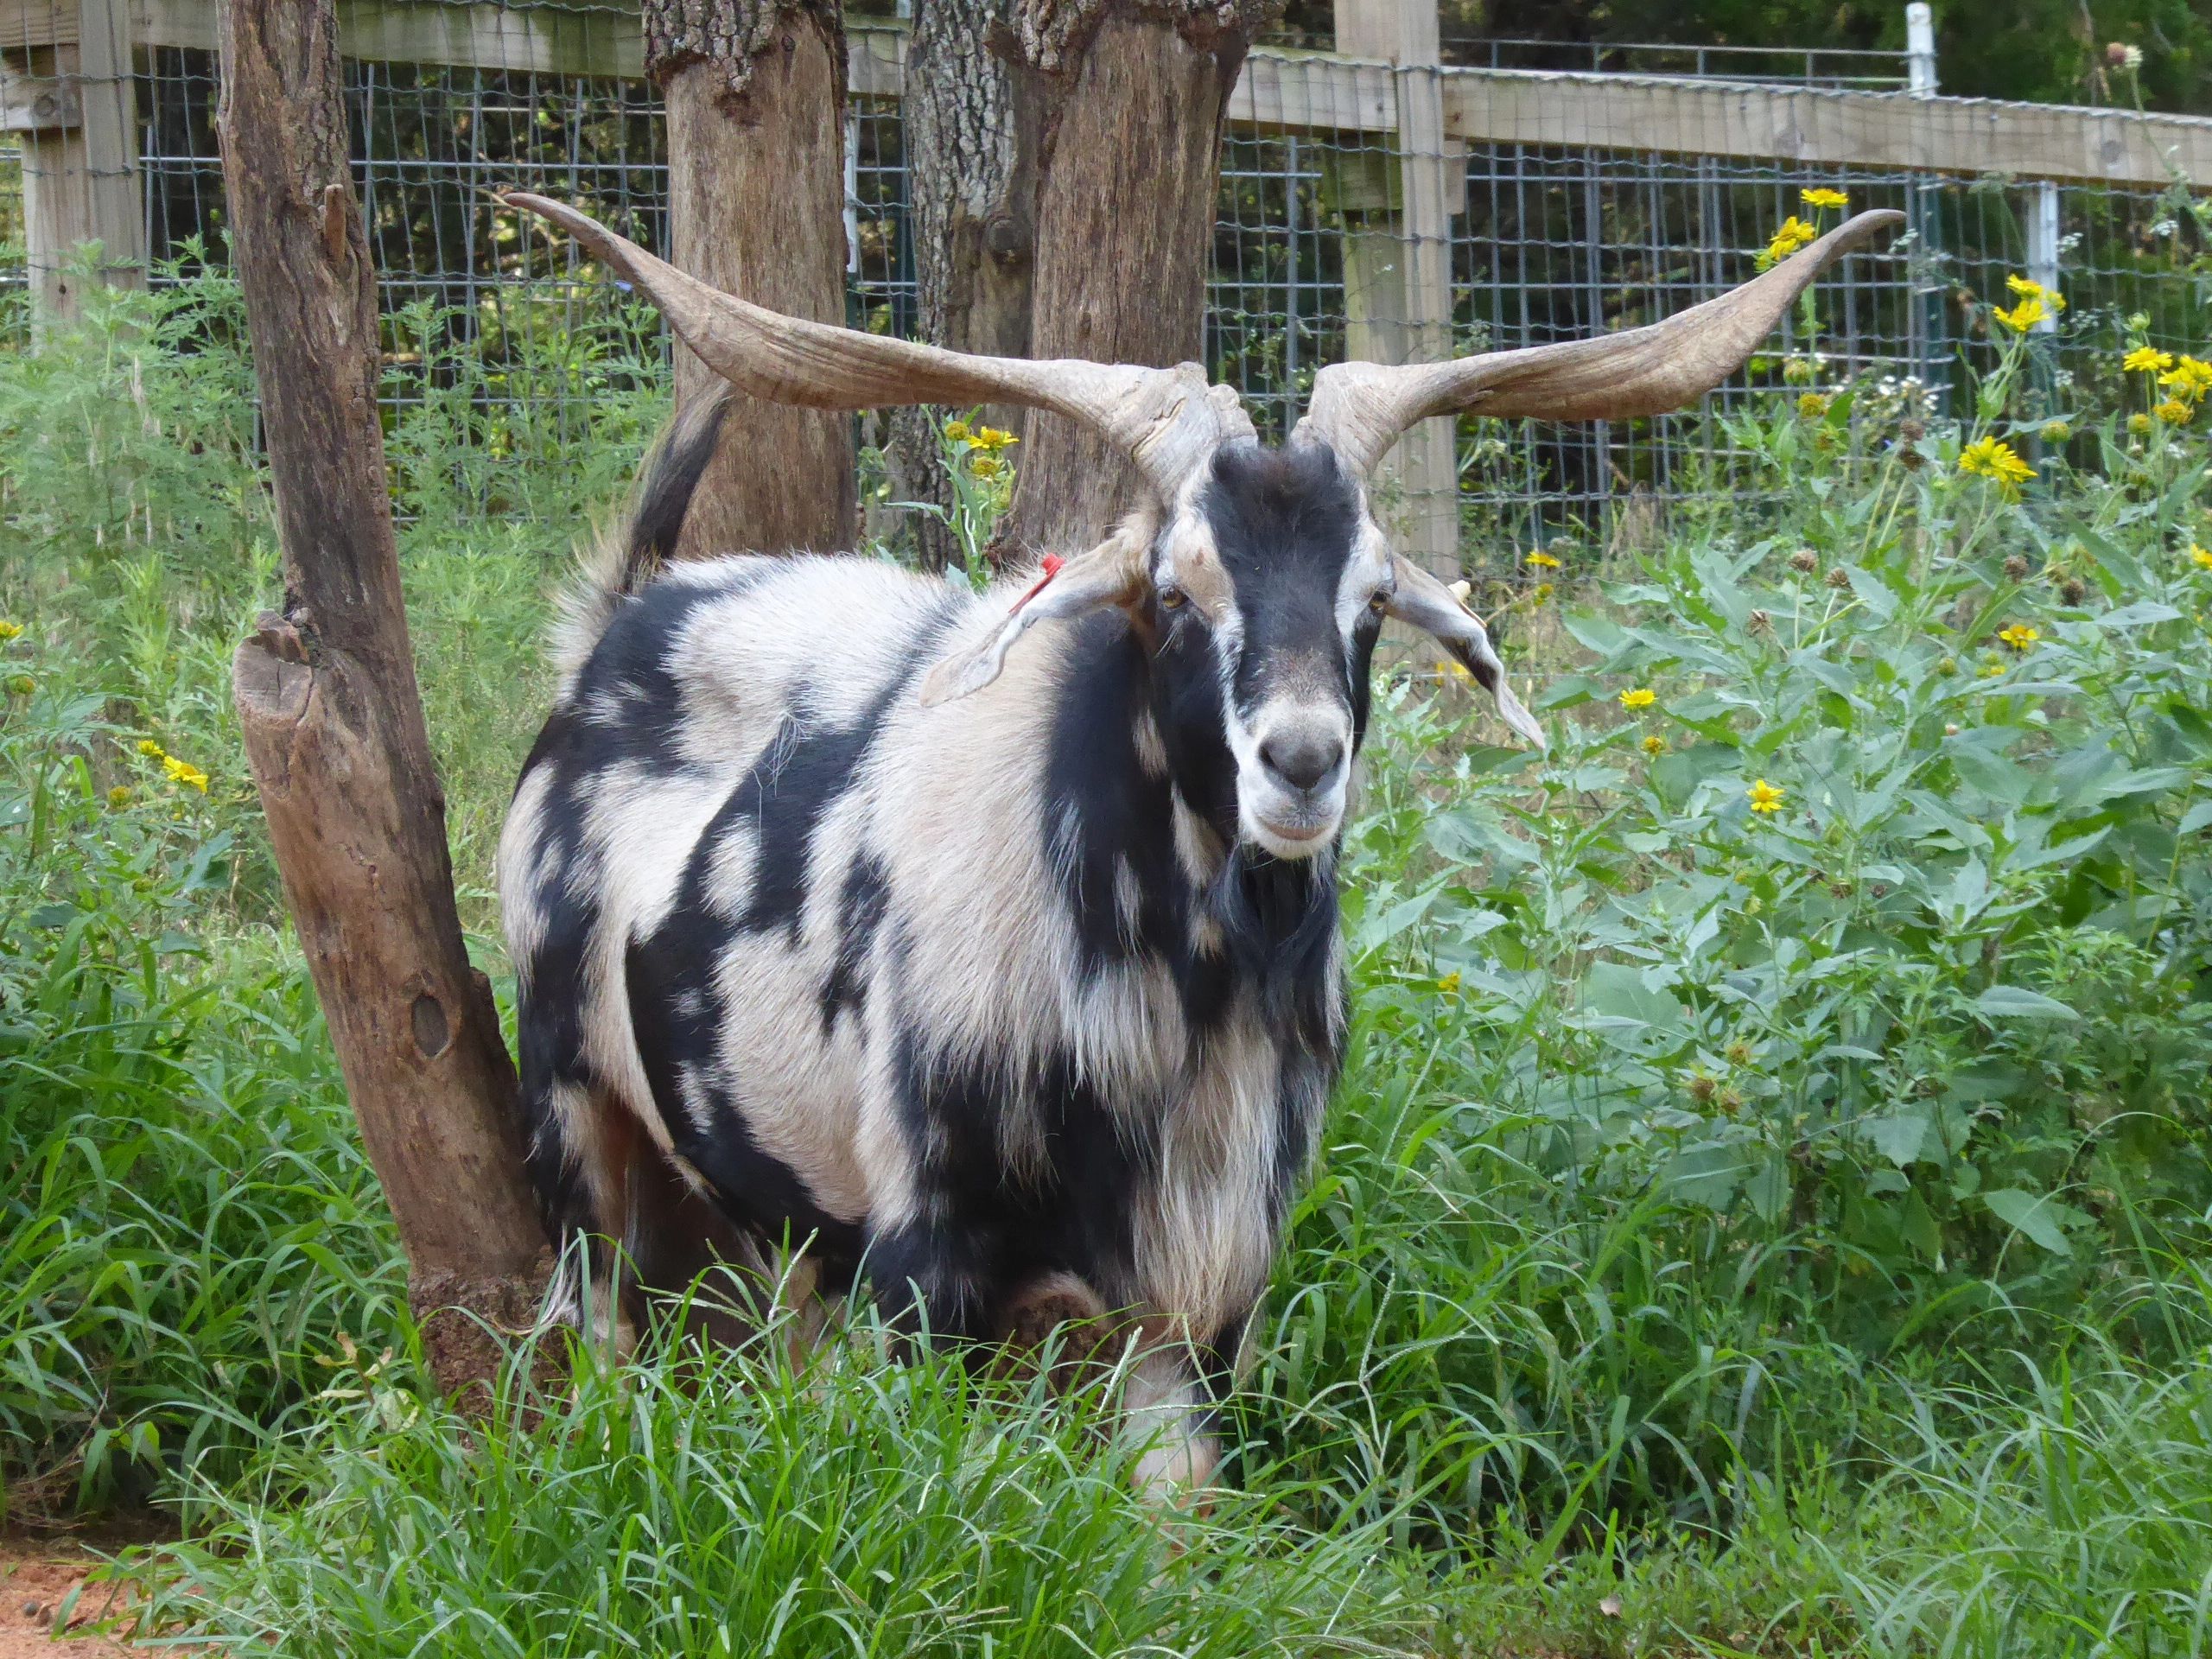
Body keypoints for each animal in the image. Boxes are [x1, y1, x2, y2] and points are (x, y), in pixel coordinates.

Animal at [497, 191, 1898, 1490]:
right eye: (1175, 591)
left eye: (1370, 603)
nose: (1301, 763)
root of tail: (620, 615)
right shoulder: (923, 1252)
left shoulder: (1195, 1284)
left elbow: (1181, 1518)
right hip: (575, 1113)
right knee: (600, 1319)